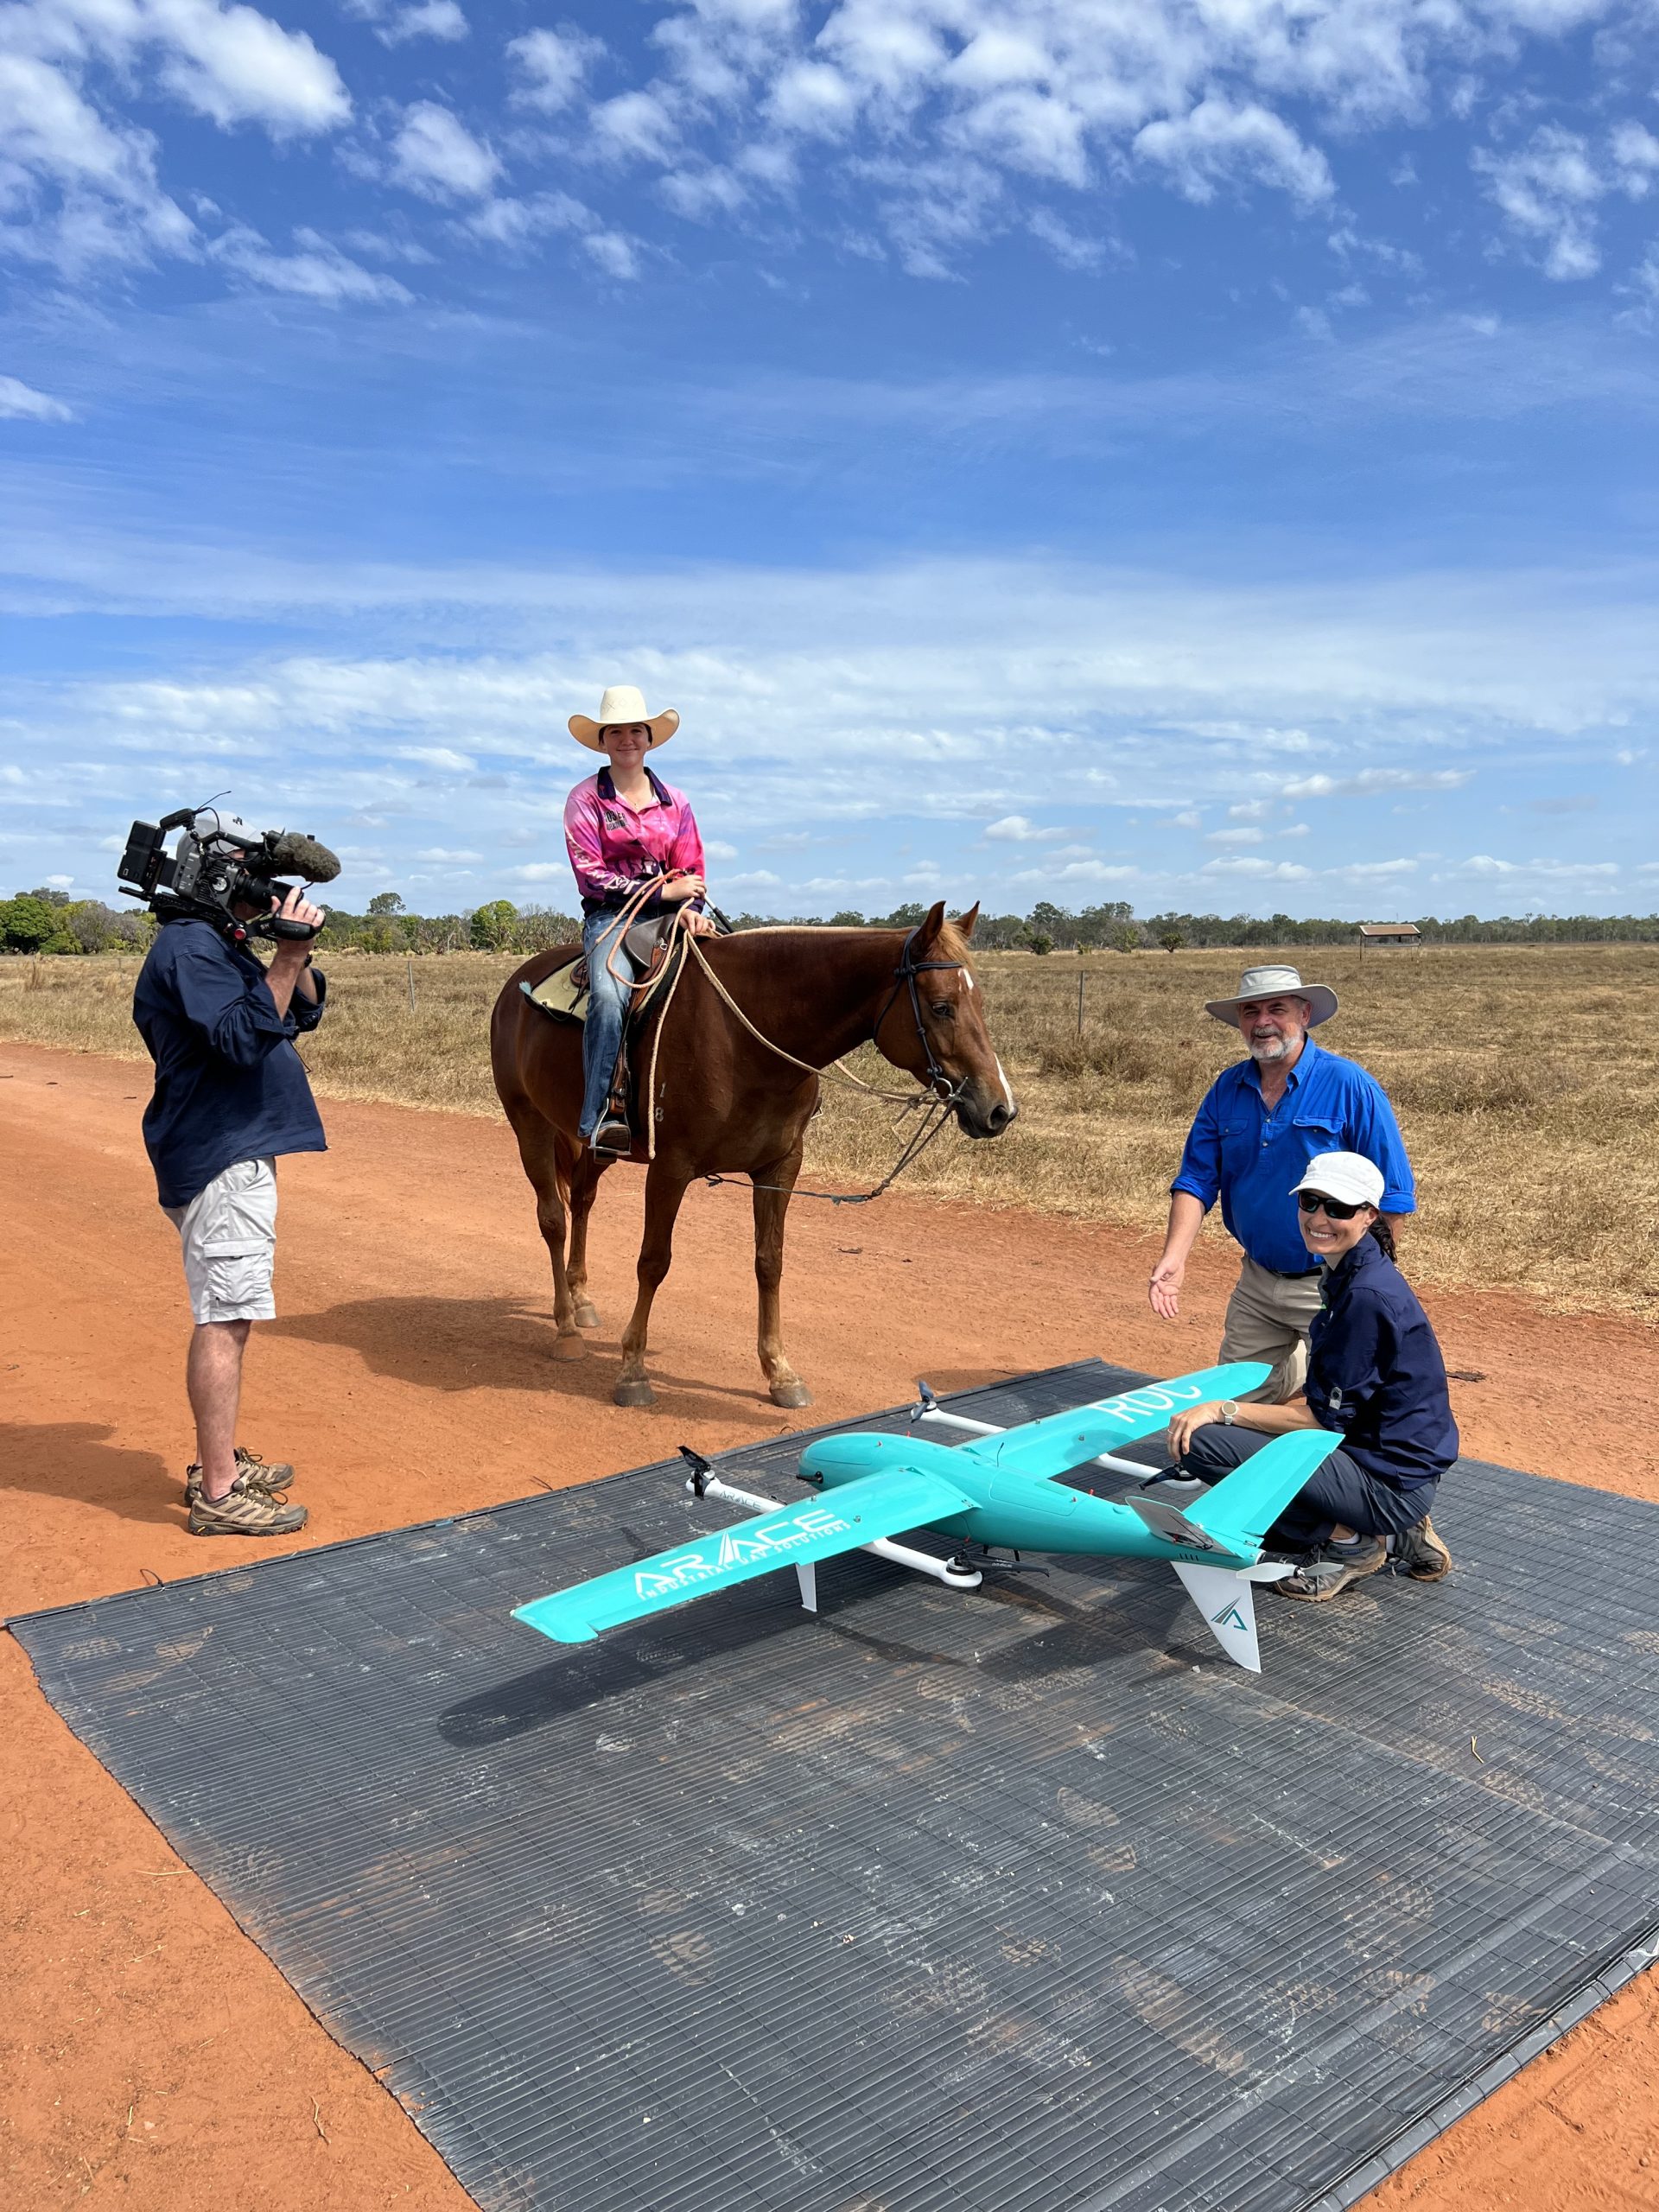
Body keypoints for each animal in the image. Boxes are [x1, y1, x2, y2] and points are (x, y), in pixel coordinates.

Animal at [486, 902, 1021, 1407]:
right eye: (941, 1006)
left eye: (979, 1001)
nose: (1000, 1109)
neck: (748, 1035)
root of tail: (517, 982)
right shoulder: (670, 1168)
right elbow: (653, 1262)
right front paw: (633, 1370)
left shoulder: (779, 1167)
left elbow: (770, 1262)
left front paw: (780, 1371)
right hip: (529, 1122)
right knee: (553, 1219)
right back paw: (565, 1328)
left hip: (592, 1143)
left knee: (580, 1200)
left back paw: (581, 1301)